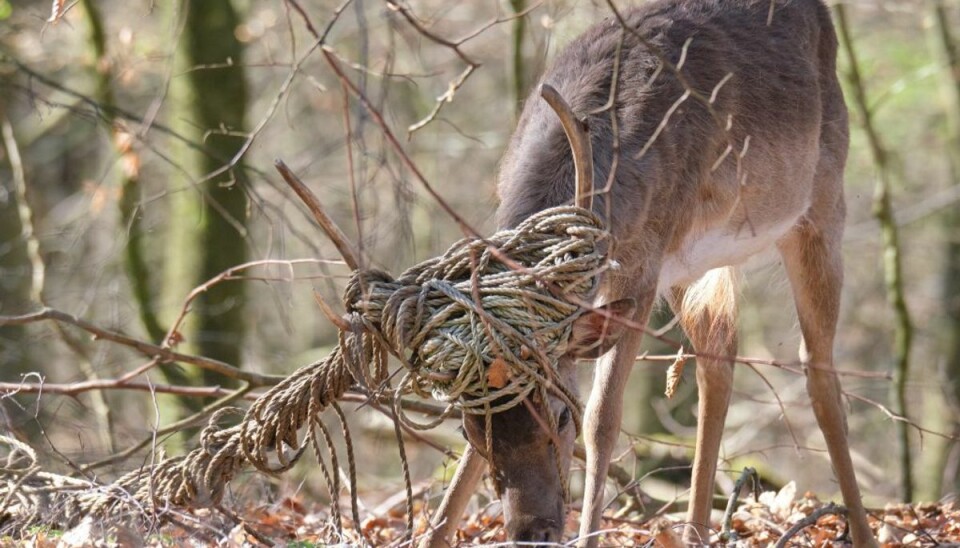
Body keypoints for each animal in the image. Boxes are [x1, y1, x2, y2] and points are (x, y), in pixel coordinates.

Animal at [420, 0, 876, 544]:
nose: (532, 531)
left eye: (560, 414)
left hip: (822, 202)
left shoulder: (641, 265)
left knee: (819, 370)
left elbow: (603, 418)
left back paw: (863, 530)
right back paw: (697, 531)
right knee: (719, 356)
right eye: (470, 430)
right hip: (690, 261)